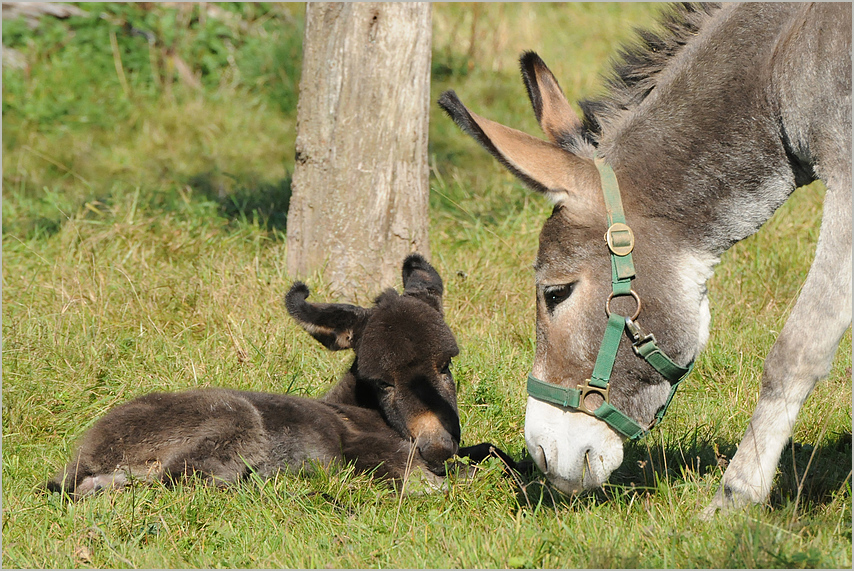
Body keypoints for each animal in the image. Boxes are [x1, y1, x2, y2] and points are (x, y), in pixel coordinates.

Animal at [48, 255, 516, 500]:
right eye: (382, 382)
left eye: (446, 365)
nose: (437, 445)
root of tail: (87, 455)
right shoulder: (383, 456)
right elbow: (457, 480)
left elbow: (491, 451)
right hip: (233, 419)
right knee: (184, 479)